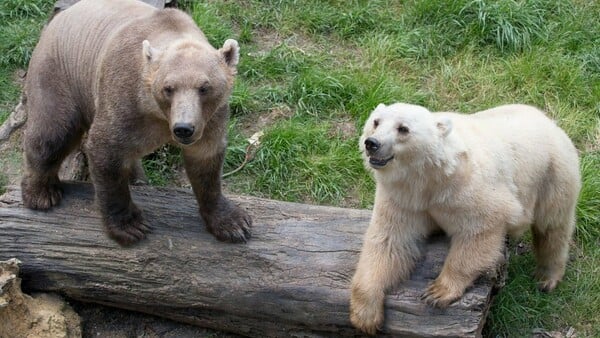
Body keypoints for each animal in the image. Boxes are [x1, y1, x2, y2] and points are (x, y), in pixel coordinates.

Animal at [20, 0, 251, 246]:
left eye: (204, 87)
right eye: (168, 88)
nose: (183, 129)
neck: (157, 113)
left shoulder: (211, 118)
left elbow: (206, 161)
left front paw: (233, 223)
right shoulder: (125, 100)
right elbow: (106, 151)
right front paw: (130, 226)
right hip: (59, 74)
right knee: (52, 132)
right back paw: (41, 193)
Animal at [350, 103, 580, 336]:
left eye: (403, 129)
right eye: (376, 122)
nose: (372, 143)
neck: (429, 177)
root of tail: (548, 120)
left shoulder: (467, 189)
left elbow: (479, 231)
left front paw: (437, 292)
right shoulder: (403, 198)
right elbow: (389, 242)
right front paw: (365, 315)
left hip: (552, 174)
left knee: (553, 227)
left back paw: (546, 277)